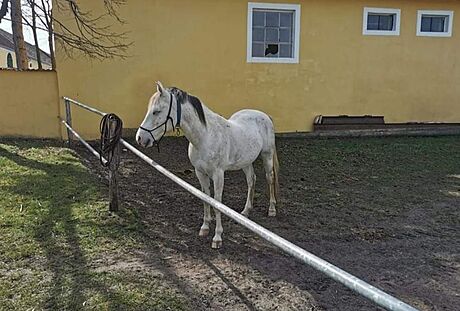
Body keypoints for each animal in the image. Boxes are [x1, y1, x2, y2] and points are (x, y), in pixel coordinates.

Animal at [136, 81, 280, 250]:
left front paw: (217, 237)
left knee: (269, 179)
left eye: (156, 111)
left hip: (267, 156)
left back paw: (271, 209)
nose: (140, 138)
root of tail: (265, 116)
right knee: (251, 180)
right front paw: (204, 228)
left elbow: (217, 202)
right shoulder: (200, 172)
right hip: (246, 161)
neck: (205, 136)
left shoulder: (218, 175)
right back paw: (245, 211)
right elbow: (206, 198)